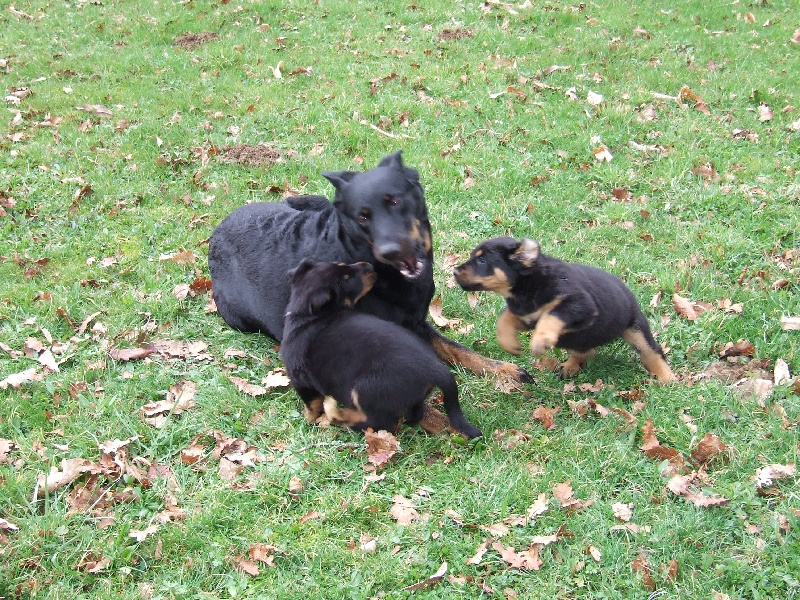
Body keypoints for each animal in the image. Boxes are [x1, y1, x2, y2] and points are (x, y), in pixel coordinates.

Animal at [209, 150, 528, 384]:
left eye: (395, 201)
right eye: (362, 217)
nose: (390, 251)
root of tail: (216, 232)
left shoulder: (417, 321)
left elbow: (458, 349)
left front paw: (501, 369)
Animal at [280, 260, 482, 438]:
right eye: (347, 277)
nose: (369, 266)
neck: (303, 314)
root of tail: (435, 369)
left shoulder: (300, 379)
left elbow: (312, 404)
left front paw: (309, 418)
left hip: (365, 390)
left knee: (378, 422)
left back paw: (339, 415)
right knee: (412, 415)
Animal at [454, 237, 672, 382]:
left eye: (482, 260)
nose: (454, 271)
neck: (527, 286)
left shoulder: (580, 304)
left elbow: (552, 315)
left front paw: (540, 341)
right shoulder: (526, 315)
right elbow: (505, 319)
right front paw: (509, 344)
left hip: (634, 327)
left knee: (651, 351)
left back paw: (666, 377)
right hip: (577, 340)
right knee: (586, 353)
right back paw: (570, 366)